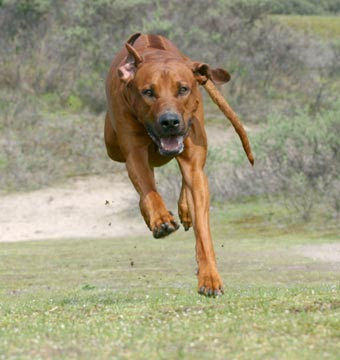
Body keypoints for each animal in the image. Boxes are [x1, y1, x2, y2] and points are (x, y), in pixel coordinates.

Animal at [103, 32, 242, 296]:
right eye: (148, 92)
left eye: (183, 89)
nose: (169, 122)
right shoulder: (134, 154)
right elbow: (150, 192)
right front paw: (160, 220)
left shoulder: (193, 161)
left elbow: (203, 230)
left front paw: (209, 277)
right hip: (112, 146)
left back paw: (185, 208)